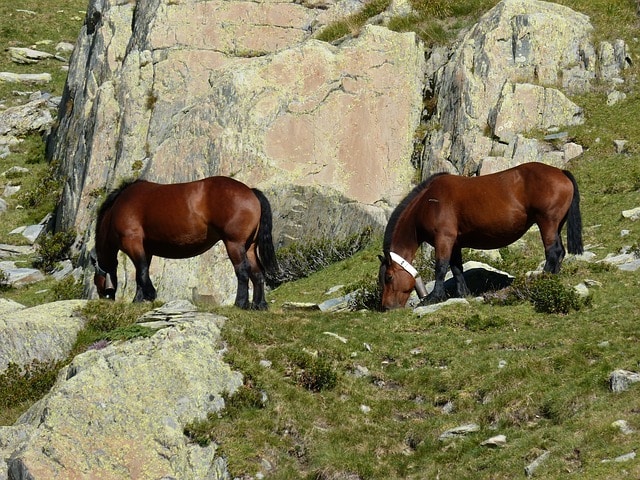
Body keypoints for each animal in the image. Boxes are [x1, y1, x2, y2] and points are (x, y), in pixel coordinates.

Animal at [90, 175, 278, 308]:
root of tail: (251, 191)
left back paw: (240, 303)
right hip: (249, 246)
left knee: (243, 270)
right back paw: (259, 305)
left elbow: (141, 271)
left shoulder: (133, 243)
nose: (103, 297)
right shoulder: (145, 249)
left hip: (234, 243)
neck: (118, 208)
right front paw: (138, 300)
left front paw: (149, 295)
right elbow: (141, 273)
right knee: (257, 272)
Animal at [378, 163, 584, 310]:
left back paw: (543, 280)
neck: (427, 202)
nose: (386, 307)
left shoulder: (444, 239)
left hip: (547, 222)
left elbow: (441, 267)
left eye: (388, 277)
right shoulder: (455, 243)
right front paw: (463, 293)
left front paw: (434, 297)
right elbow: (457, 268)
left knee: (553, 251)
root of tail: (560, 172)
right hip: (555, 225)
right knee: (560, 252)